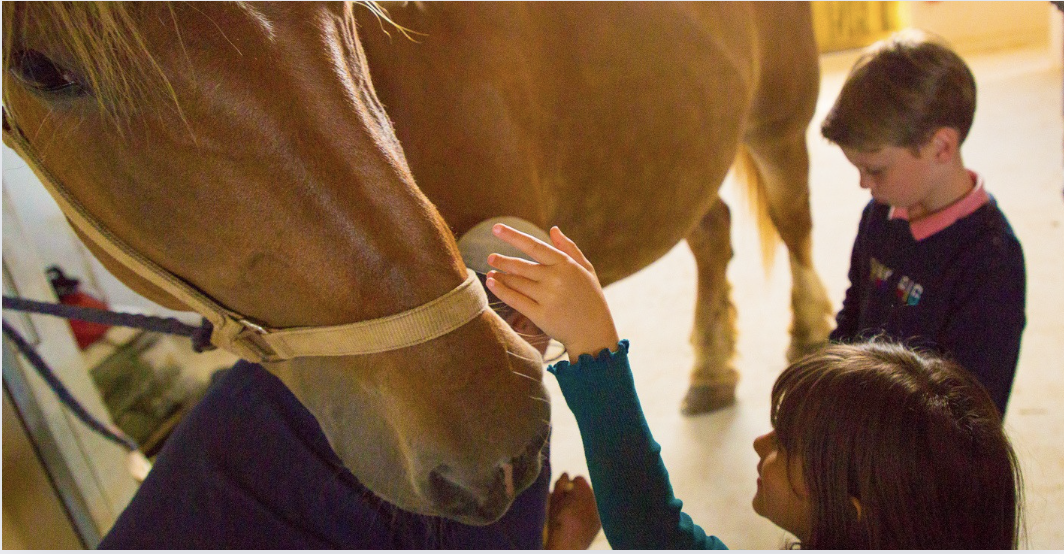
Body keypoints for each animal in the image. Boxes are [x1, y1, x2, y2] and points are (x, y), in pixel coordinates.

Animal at [0, 1, 829, 527]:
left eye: (334, 8)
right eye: (38, 69)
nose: (498, 438)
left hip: (776, 120)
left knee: (794, 224)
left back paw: (809, 337)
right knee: (714, 234)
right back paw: (711, 368)